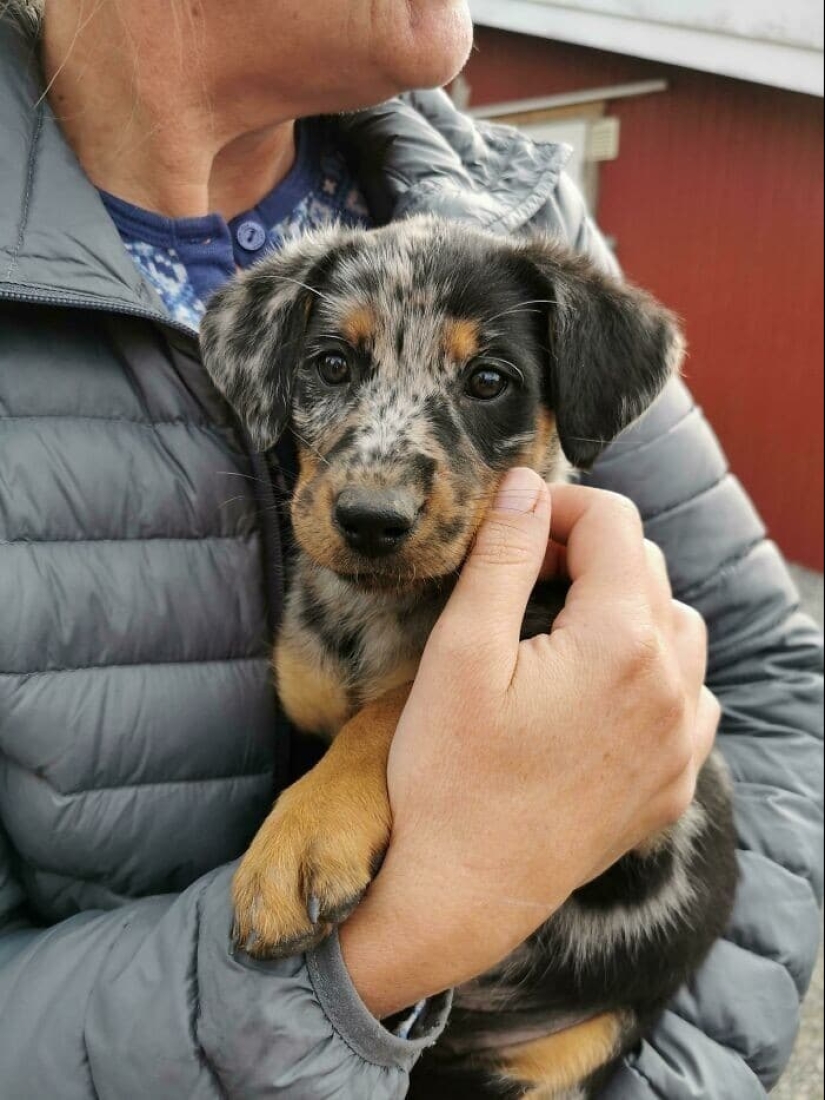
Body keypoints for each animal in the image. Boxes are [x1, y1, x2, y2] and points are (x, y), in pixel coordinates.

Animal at [200, 218, 734, 1100]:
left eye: (489, 380)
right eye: (332, 364)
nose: (370, 519)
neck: (372, 612)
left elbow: (399, 703)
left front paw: (302, 838)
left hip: (570, 1050)